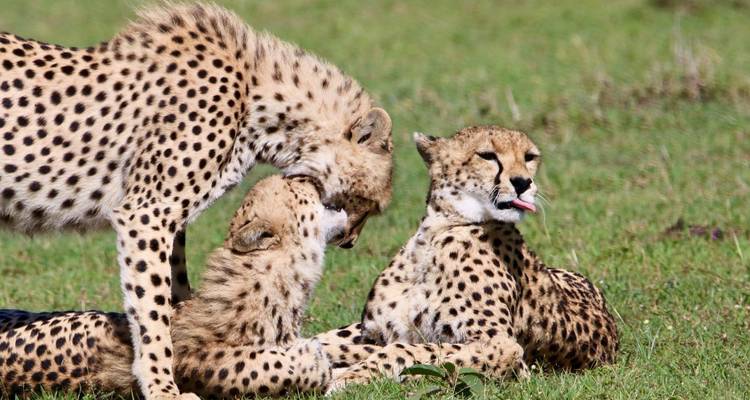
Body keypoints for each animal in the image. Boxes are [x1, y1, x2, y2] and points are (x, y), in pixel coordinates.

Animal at [310, 126, 619, 391]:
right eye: (487, 155)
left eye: (529, 157)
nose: (523, 183)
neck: (435, 234)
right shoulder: (374, 333)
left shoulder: (503, 348)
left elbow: (408, 351)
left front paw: (346, 376)